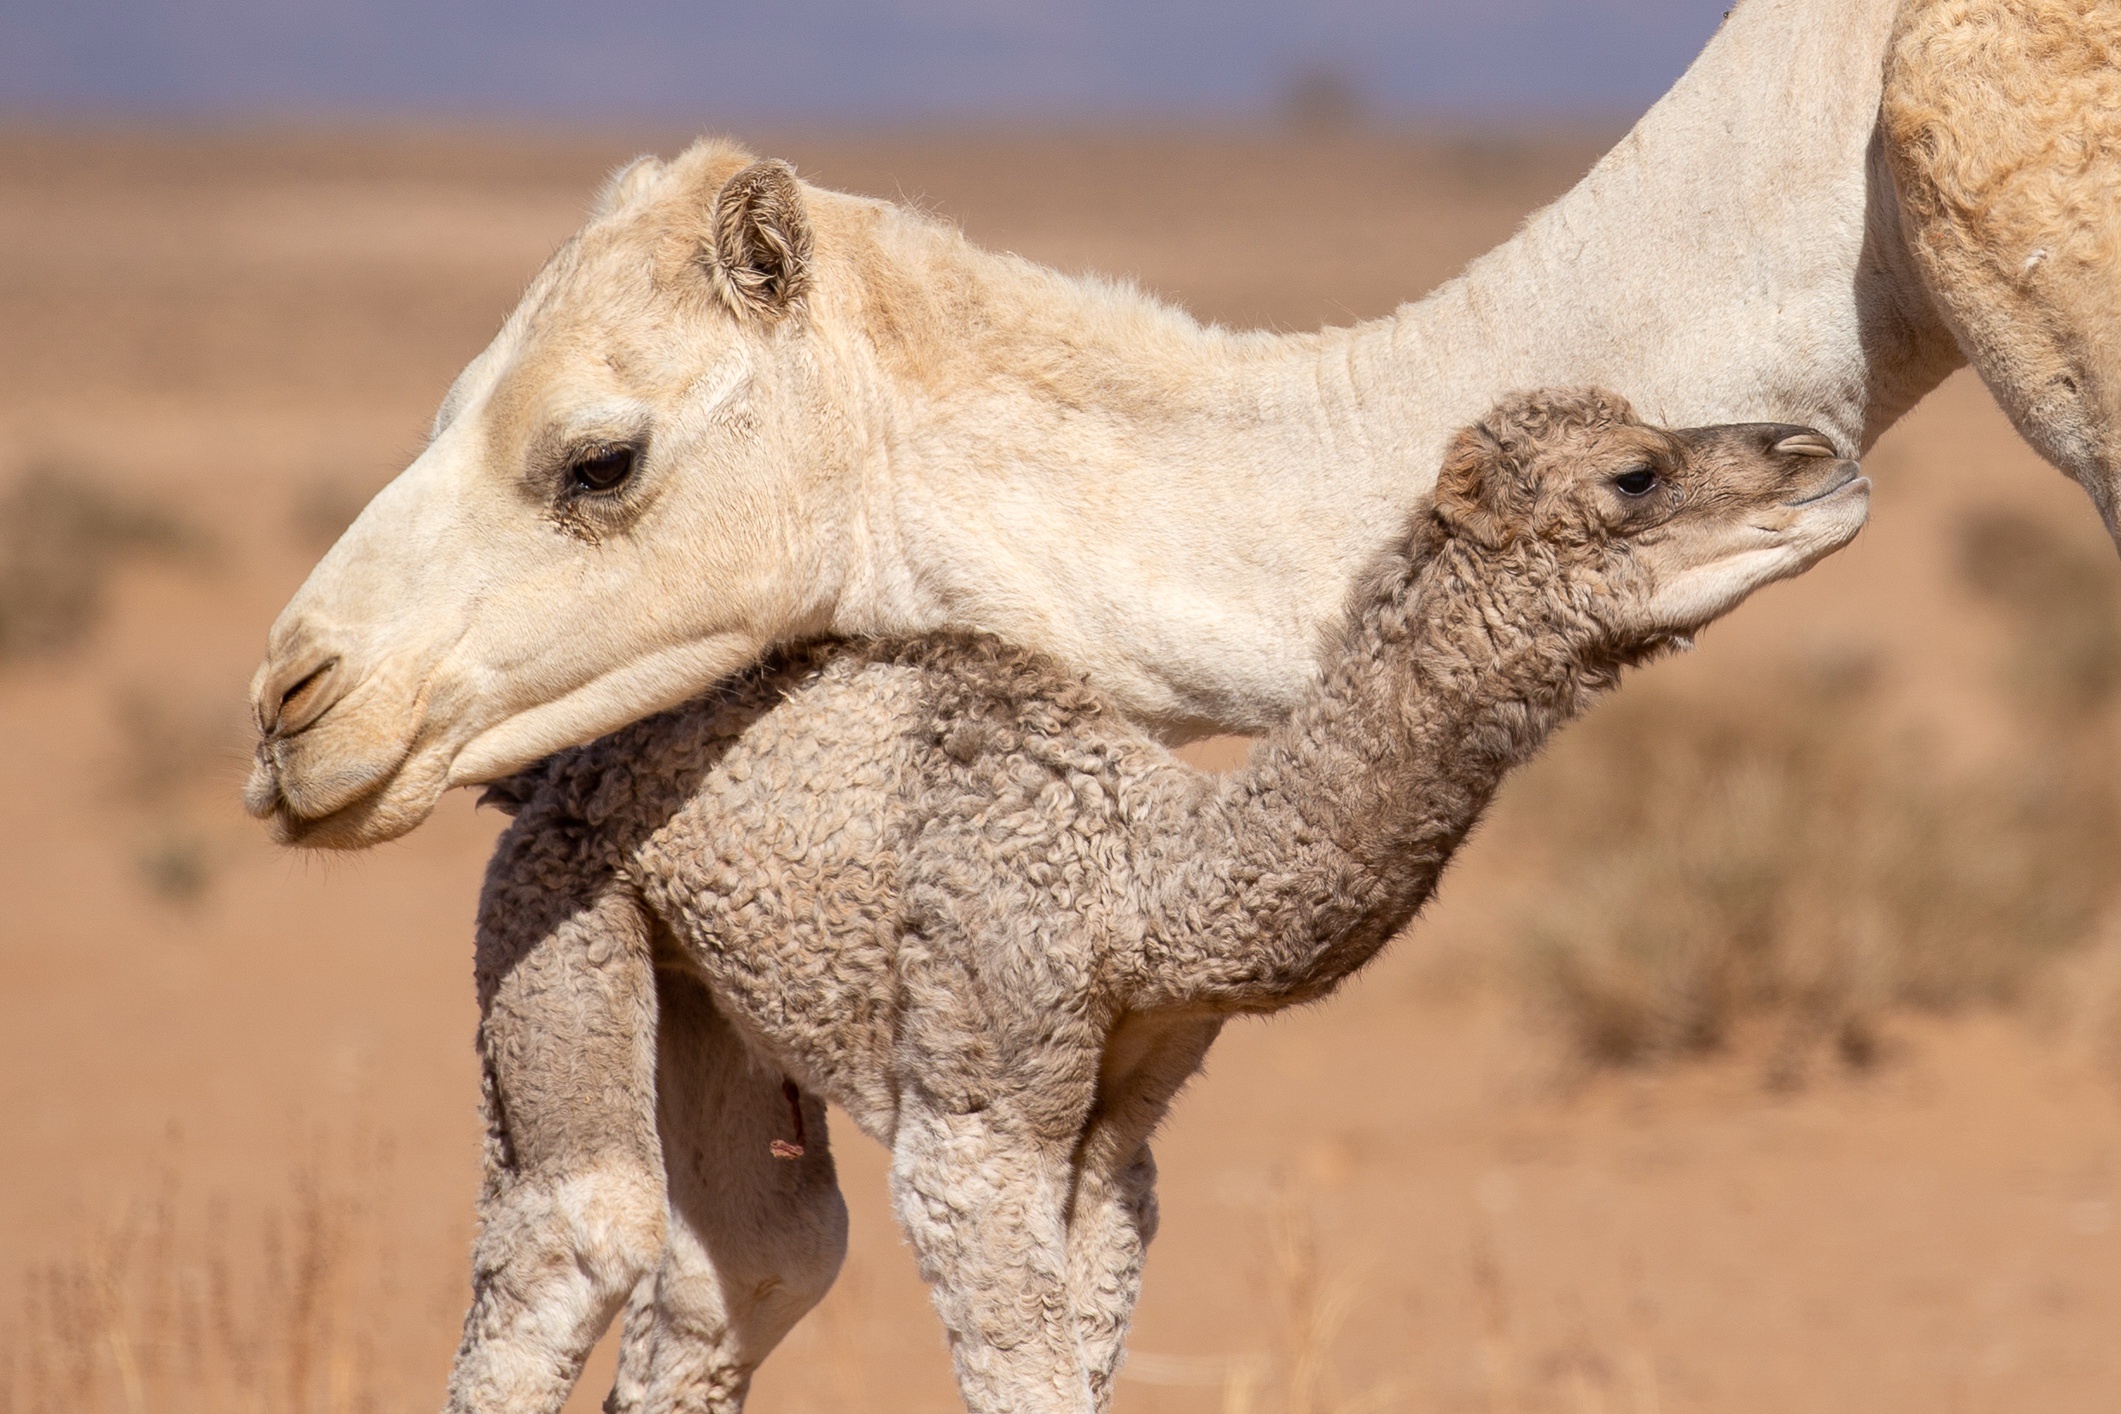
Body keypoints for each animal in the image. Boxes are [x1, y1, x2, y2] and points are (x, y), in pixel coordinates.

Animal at [456, 390, 1866, 1414]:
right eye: (1636, 475)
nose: (1824, 460)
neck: (1142, 886)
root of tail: (546, 763)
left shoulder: (1119, 1139)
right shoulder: (979, 1108)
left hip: (701, 988)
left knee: (752, 1261)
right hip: (555, 903)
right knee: (577, 1230)